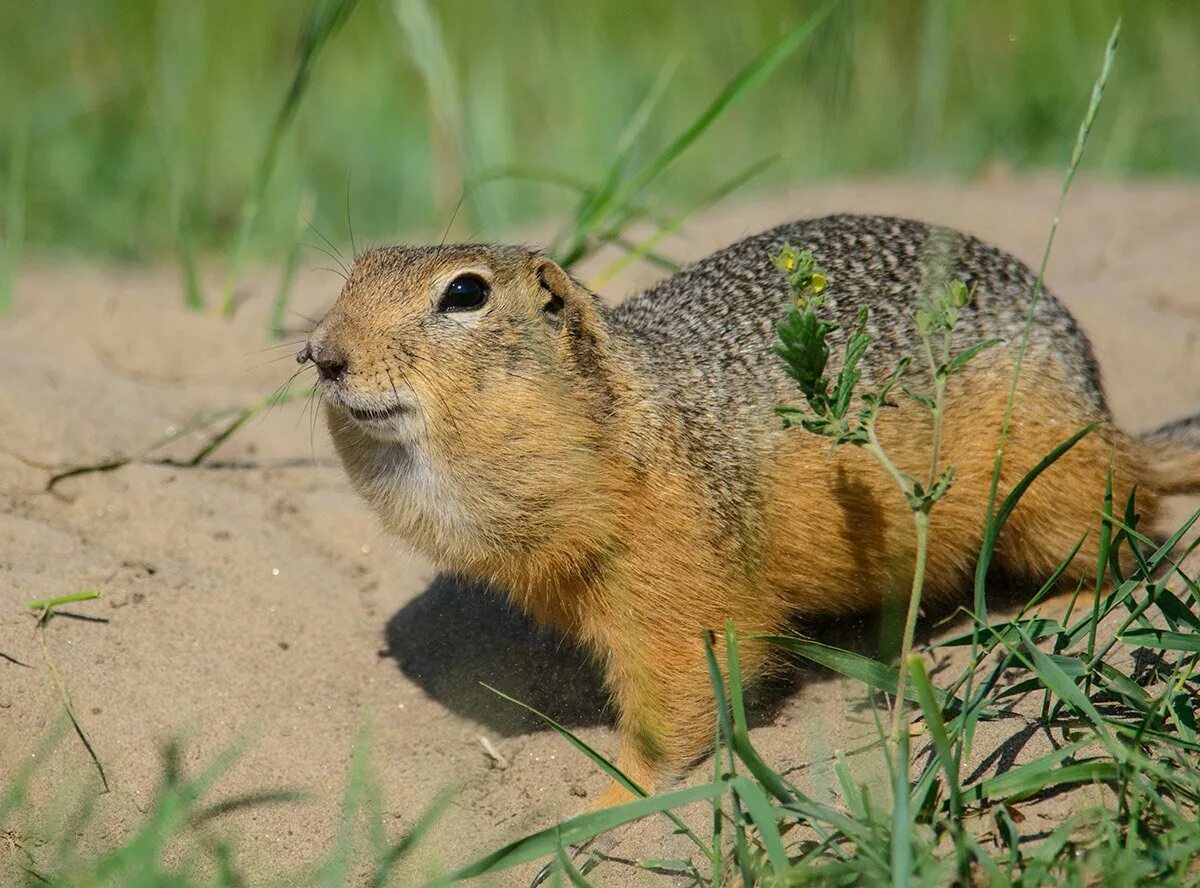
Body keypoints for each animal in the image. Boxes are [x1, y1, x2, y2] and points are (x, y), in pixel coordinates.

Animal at [297, 214, 1200, 811]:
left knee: (1131, 531)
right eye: (353, 274)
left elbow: (680, 691)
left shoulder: (679, 576)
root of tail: (1105, 411)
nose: (321, 353)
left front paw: (617, 797)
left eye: (464, 292)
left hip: (1055, 490)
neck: (635, 415)